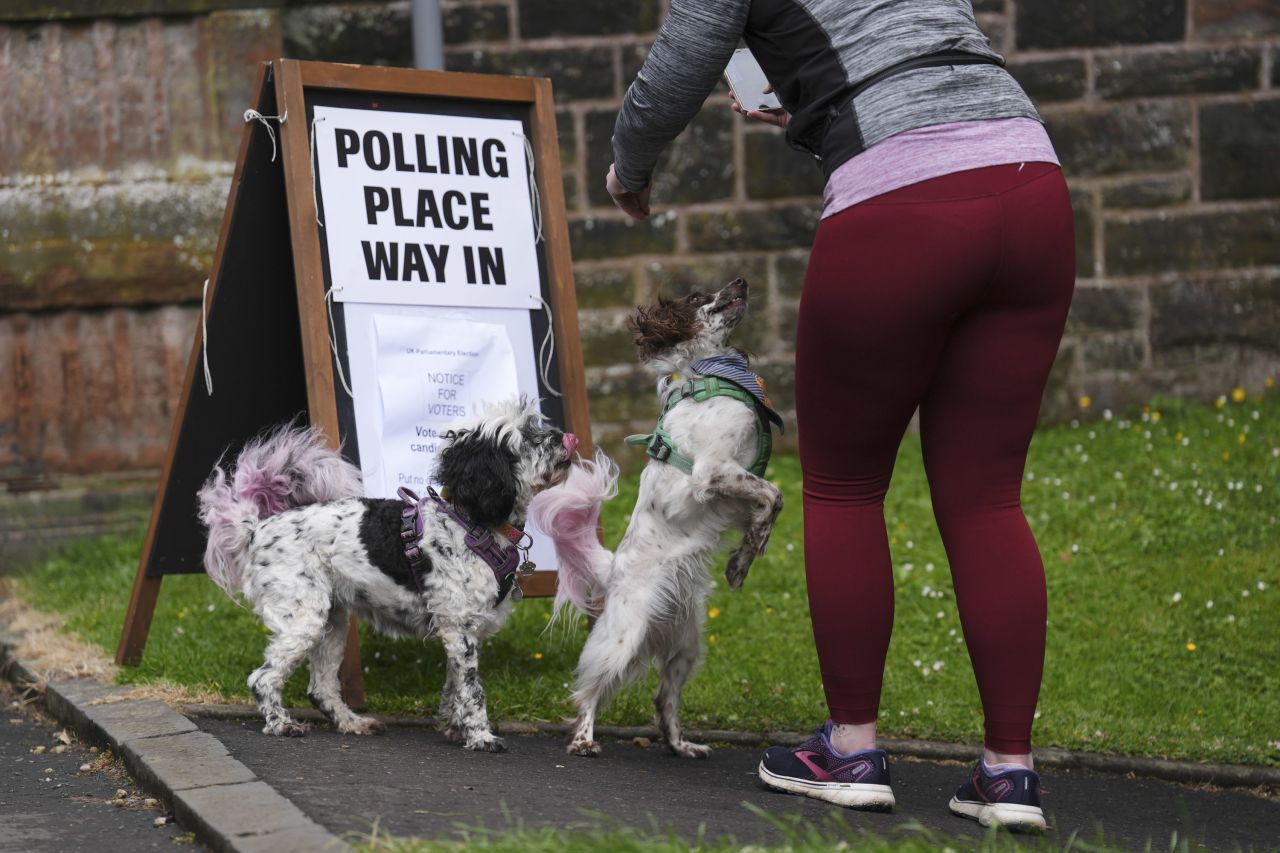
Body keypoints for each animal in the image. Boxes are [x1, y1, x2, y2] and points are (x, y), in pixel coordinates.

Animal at [197, 394, 578, 747]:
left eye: (538, 426)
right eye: (527, 438)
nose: (567, 437)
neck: (473, 524)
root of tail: (255, 529)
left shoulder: (459, 631)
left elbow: (454, 686)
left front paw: (455, 727)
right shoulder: (460, 629)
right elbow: (472, 690)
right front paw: (481, 736)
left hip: (332, 622)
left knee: (320, 687)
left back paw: (352, 723)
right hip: (303, 619)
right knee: (262, 679)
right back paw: (281, 724)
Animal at [527, 275, 778, 753]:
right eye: (699, 297)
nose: (741, 280)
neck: (709, 375)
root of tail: (611, 570)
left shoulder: (732, 486)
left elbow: (767, 506)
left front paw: (742, 560)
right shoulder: (712, 473)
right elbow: (774, 495)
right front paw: (743, 560)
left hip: (687, 648)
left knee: (664, 699)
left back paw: (682, 746)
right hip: (621, 639)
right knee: (587, 690)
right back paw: (583, 739)